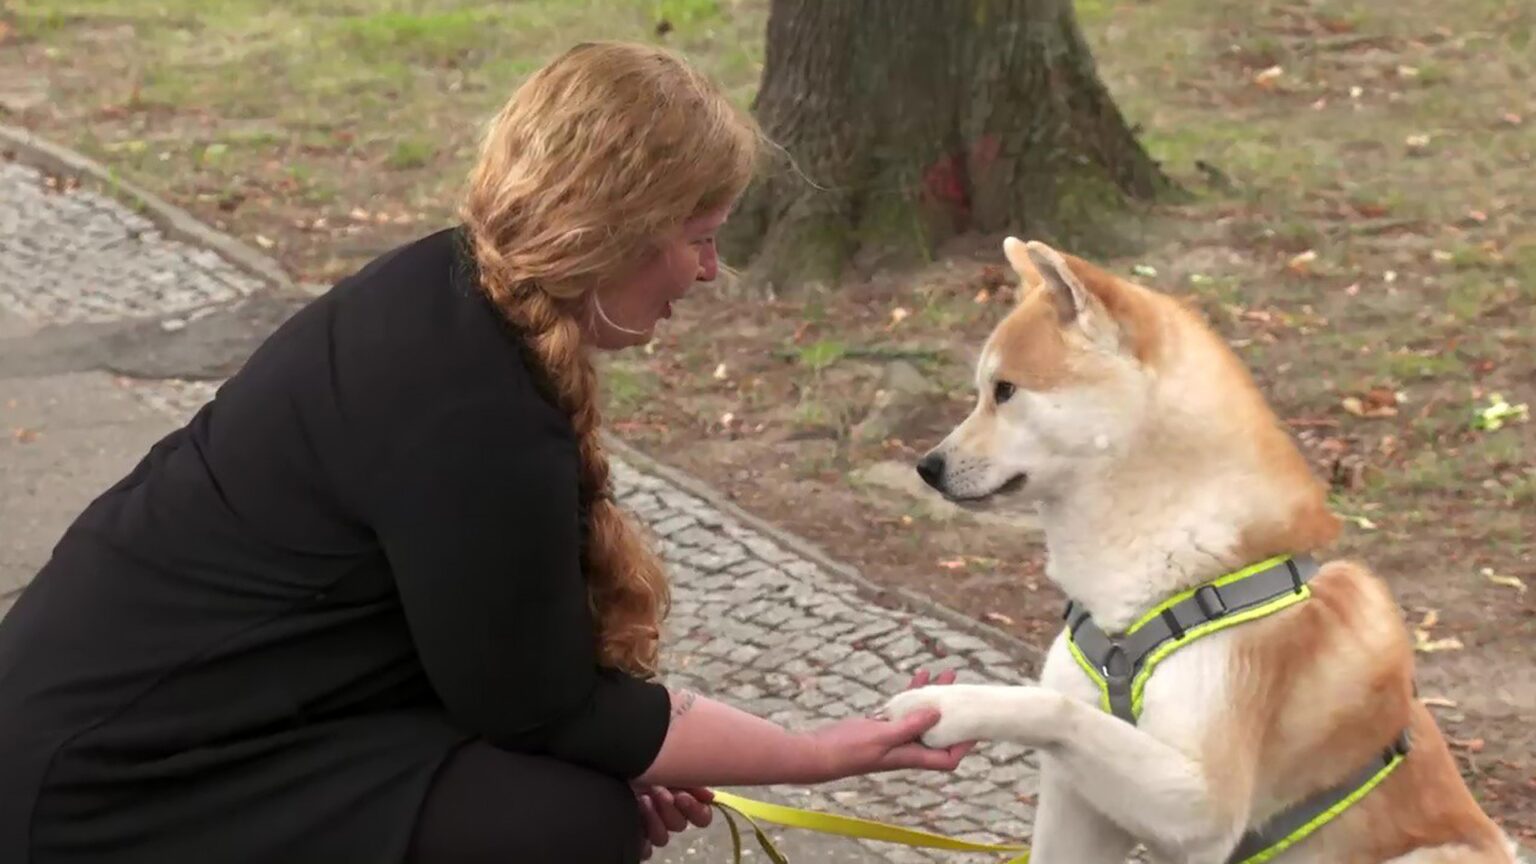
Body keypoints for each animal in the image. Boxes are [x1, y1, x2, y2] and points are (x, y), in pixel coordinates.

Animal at [878, 238, 1511, 860]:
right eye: (982, 392)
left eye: (1004, 390)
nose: (927, 466)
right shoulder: (1081, 802)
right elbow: (1067, 715)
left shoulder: (1202, 802)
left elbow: (1056, 708)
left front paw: (951, 707)